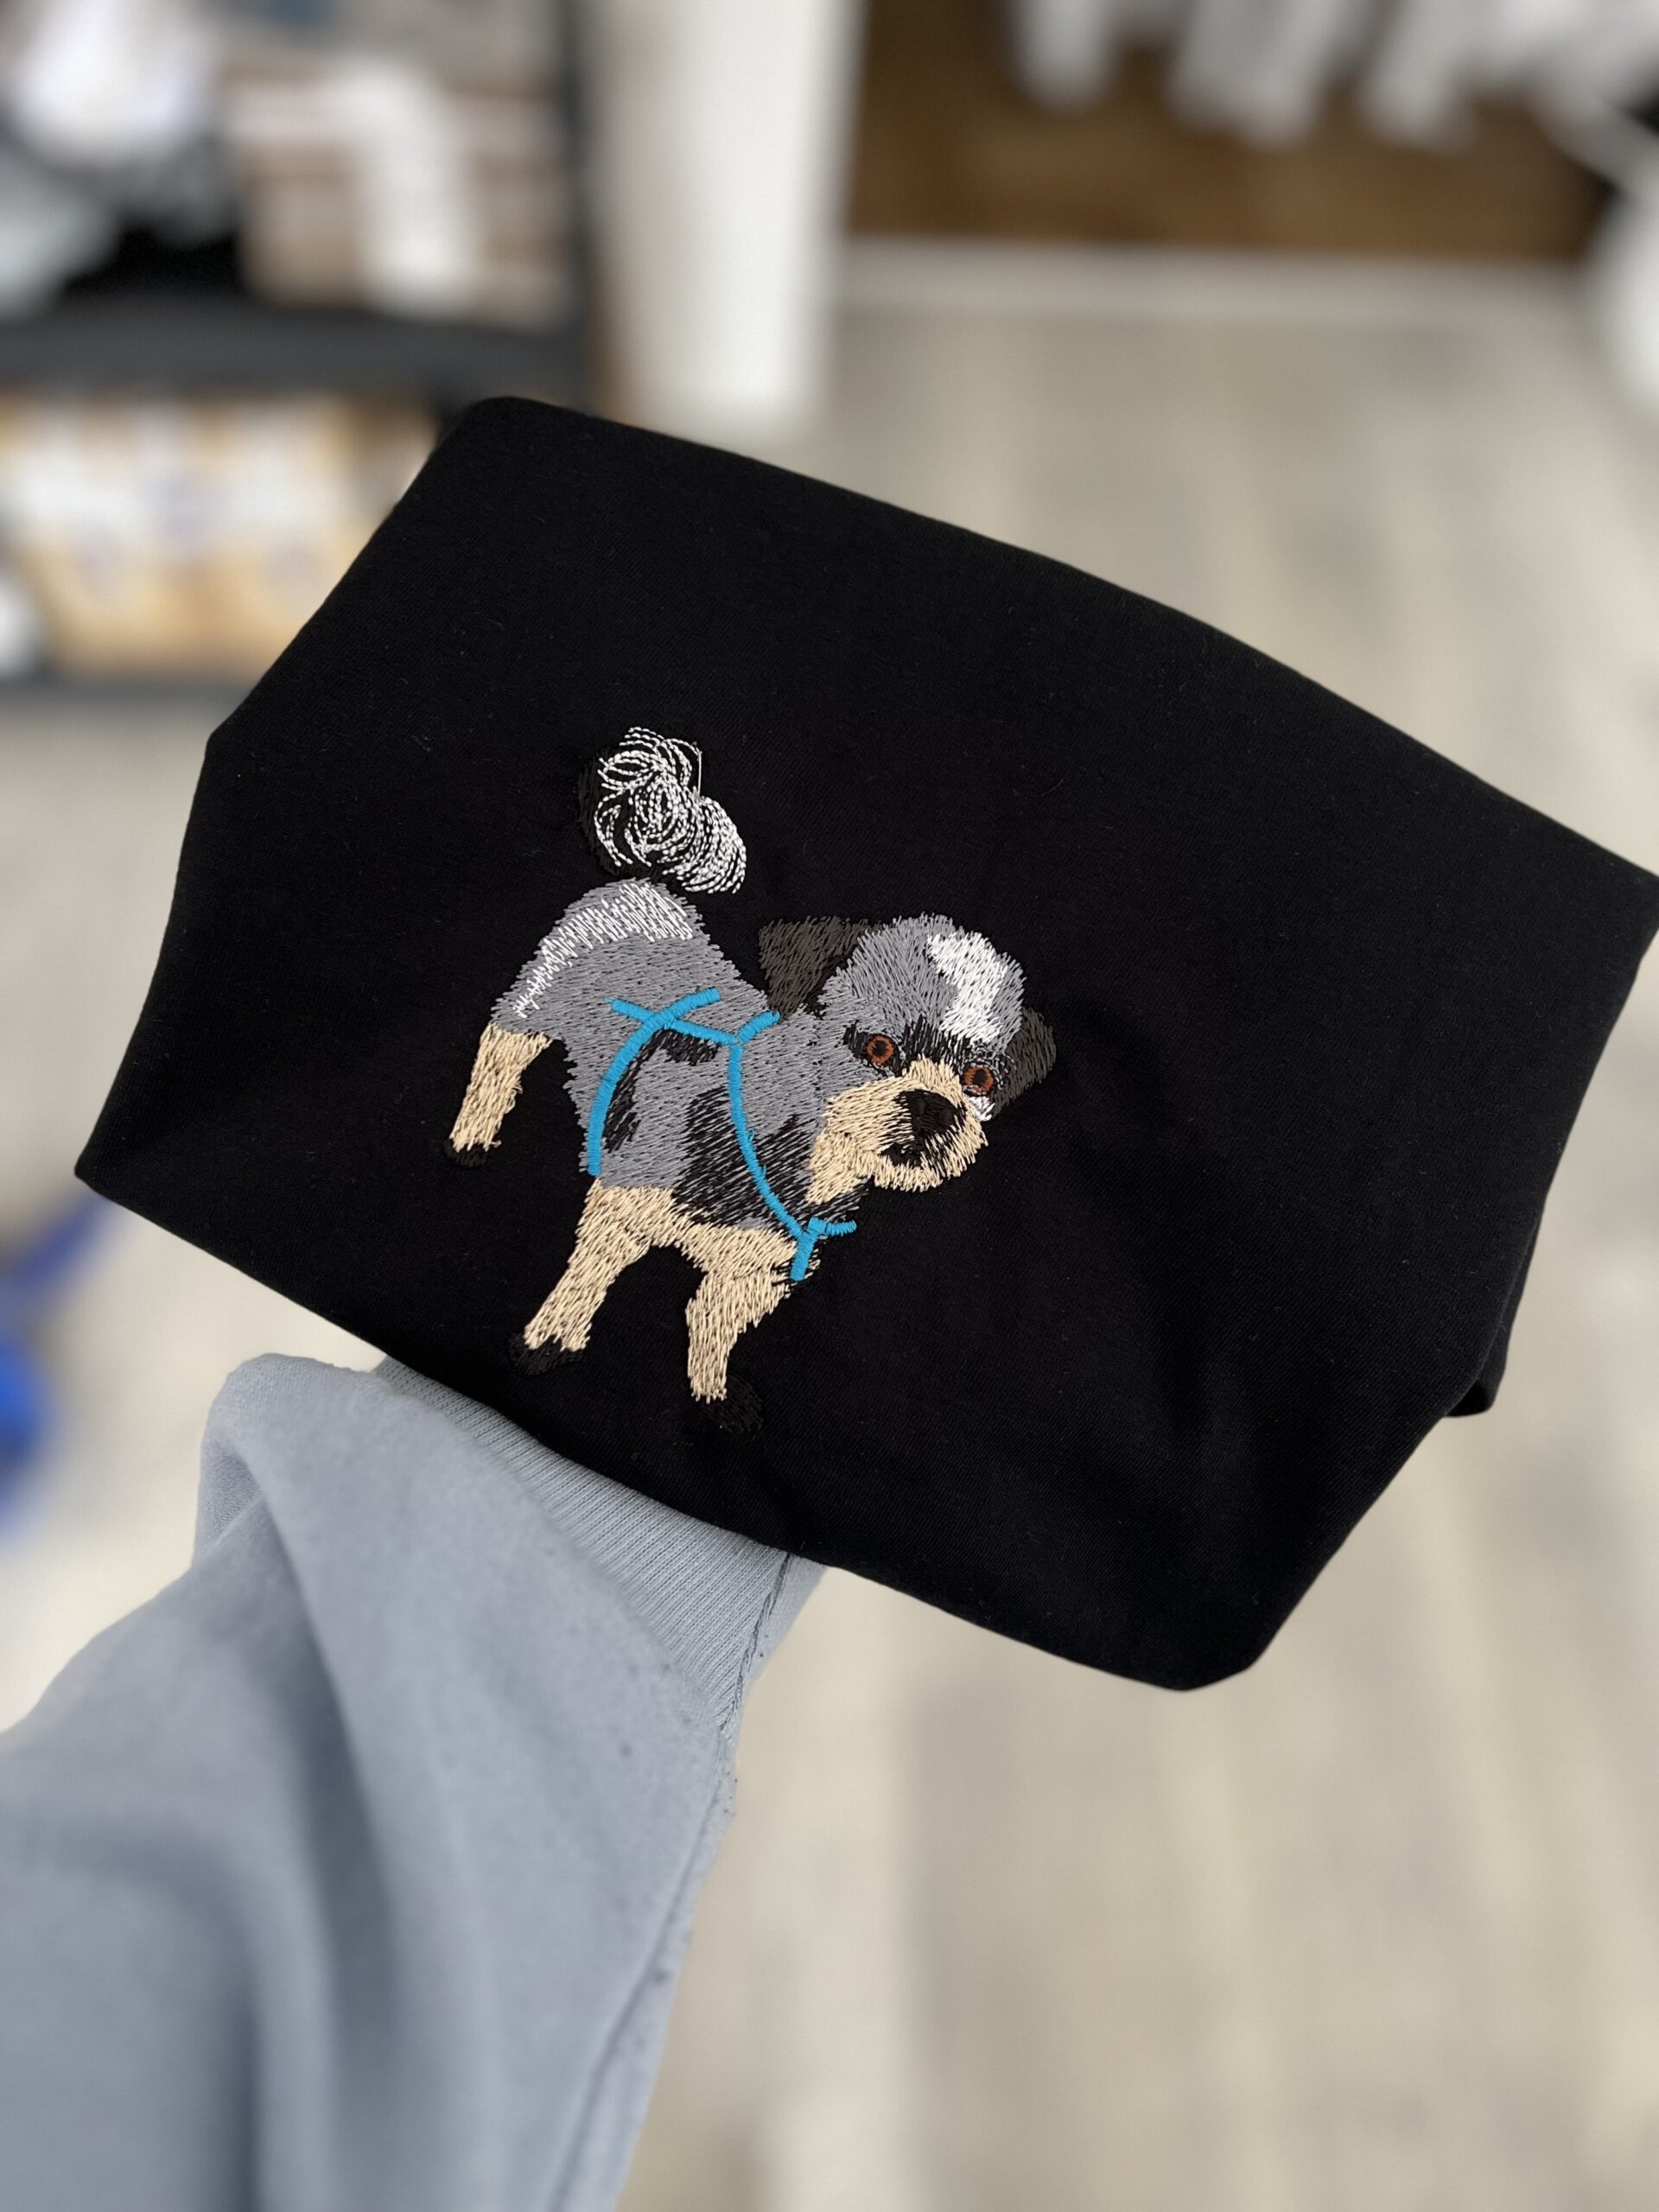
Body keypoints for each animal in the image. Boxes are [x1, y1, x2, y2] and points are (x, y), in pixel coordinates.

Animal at [449, 731, 1055, 1424]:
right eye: (877, 1047)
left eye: (979, 1079)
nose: (934, 1107)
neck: (807, 1159)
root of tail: (650, 883)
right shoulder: (624, 1205)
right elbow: (590, 1275)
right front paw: (550, 1340)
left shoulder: (756, 1272)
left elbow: (711, 1321)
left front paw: (713, 1393)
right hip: (541, 995)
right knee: (503, 1045)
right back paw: (474, 1130)